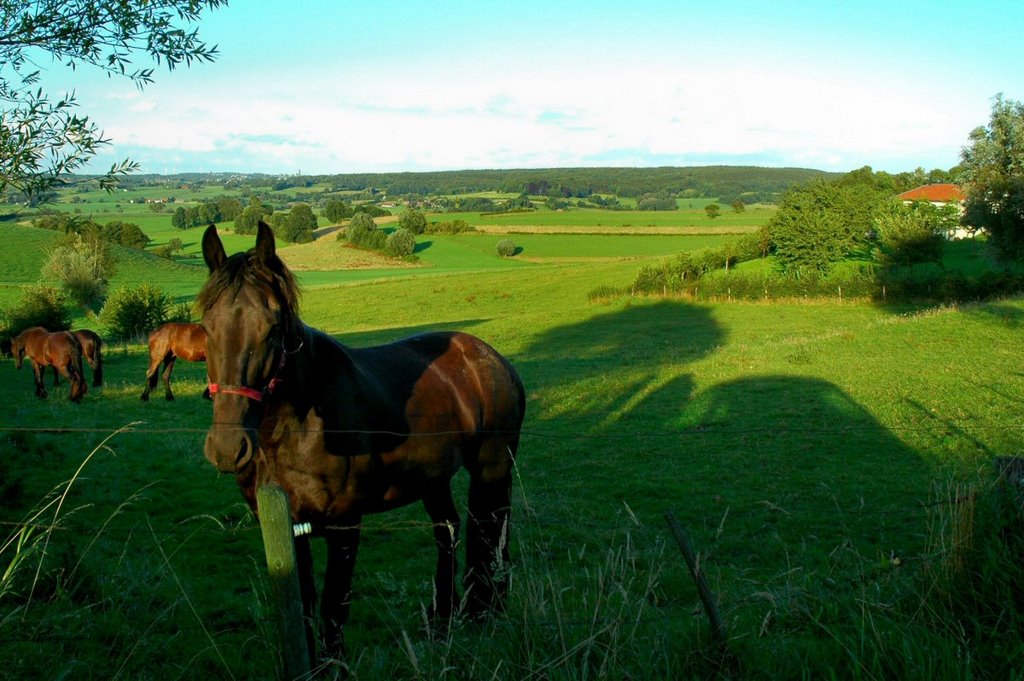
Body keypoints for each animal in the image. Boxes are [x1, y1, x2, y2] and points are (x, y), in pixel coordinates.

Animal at [198, 225, 524, 659]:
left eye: (272, 329)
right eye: (205, 327)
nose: (226, 447)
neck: (296, 430)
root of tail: (493, 361)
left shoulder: (345, 525)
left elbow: (333, 610)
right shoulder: (288, 528)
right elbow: (303, 605)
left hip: (493, 470)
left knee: (492, 535)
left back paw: (487, 613)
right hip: (433, 479)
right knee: (449, 531)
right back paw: (443, 621)